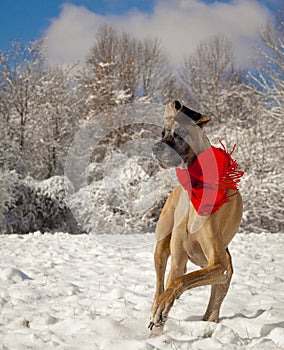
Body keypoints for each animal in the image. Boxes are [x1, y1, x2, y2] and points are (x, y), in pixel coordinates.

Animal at [150, 100, 243, 334]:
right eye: (163, 133)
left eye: (180, 133)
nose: (156, 148)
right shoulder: (178, 261)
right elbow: (173, 282)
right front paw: (158, 318)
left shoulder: (218, 264)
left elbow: (181, 281)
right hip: (161, 247)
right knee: (159, 284)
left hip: (224, 270)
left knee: (214, 303)